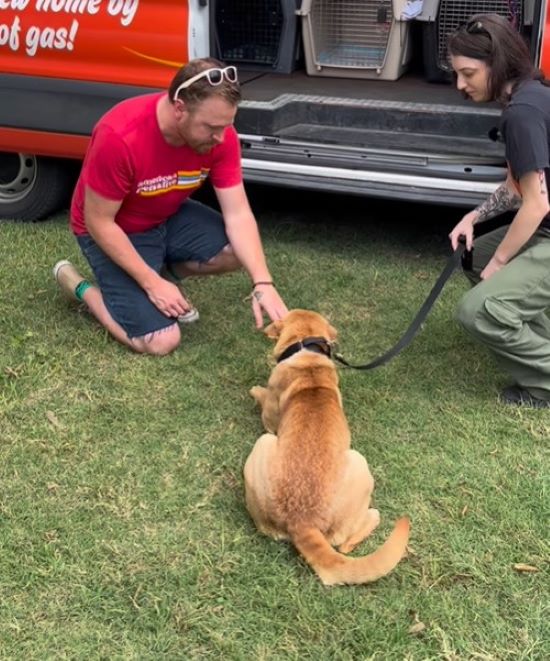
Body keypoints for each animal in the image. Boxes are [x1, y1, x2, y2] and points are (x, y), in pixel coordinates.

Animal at [245, 306, 410, 584]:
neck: (307, 353)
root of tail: (303, 521)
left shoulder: (269, 422)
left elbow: (261, 394)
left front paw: (255, 390)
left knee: (345, 543)